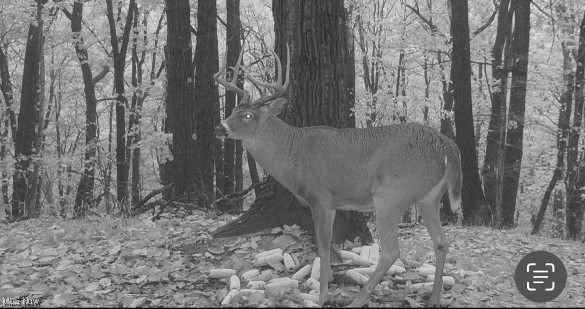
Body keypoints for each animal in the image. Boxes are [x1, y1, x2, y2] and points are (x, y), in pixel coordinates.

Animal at [213, 44, 460, 306]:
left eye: (248, 115)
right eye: (233, 110)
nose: (219, 128)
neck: (293, 152)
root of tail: (446, 146)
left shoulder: (320, 196)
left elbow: (322, 245)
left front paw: (322, 296)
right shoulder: (332, 203)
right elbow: (329, 245)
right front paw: (327, 282)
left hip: (391, 194)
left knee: (392, 250)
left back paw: (358, 300)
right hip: (428, 198)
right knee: (441, 242)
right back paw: (434, 299)